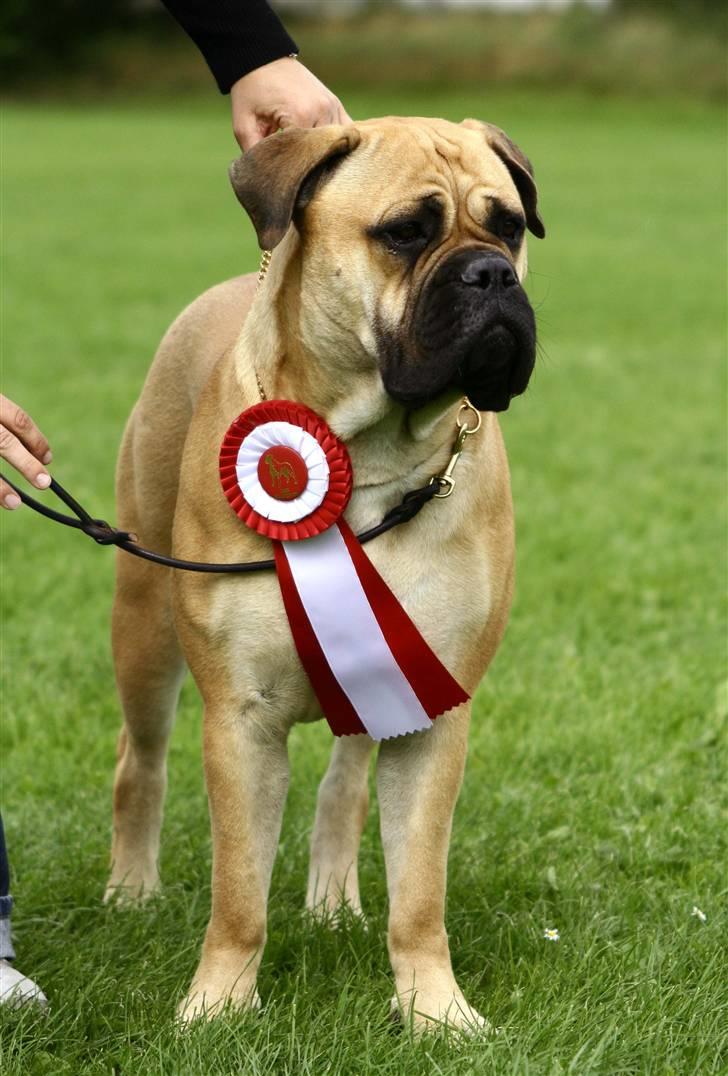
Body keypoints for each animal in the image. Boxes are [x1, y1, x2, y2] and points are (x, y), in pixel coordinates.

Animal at [104, 113, 541, 1028]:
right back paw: (131, 889)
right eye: (405, 232)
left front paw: (435, 1012)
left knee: (344, 789)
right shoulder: (239, 717)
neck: (370, 457)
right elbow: (238, 891)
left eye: (510, 227)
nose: (490, 275)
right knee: (141, 760)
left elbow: (420, 889)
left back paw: (334, 900)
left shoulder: (435, 709)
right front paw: (217, 1009)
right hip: (144, 627)